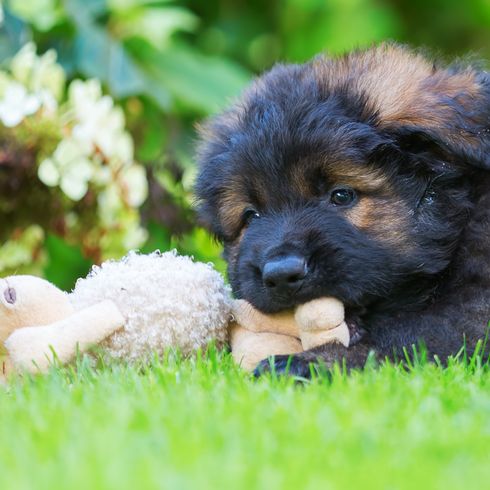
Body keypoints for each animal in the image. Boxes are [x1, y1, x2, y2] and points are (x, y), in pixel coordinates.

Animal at [195, 45, 490, 376]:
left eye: (342, 195)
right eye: (251, 215)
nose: (282, 274)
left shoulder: (472, 312)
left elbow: (403, 341)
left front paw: (306, 362)